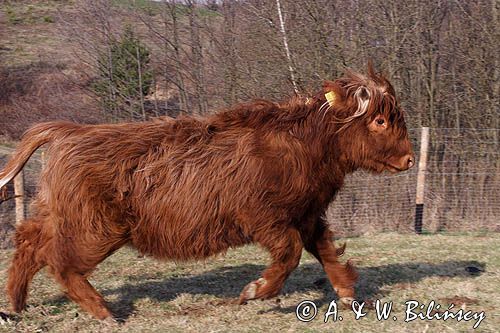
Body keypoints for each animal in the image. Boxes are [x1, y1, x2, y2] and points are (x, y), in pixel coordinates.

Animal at [0, 65, 414, 320]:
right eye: (379, 120)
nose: (409, 158)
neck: (307, 147)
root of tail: (70, 130)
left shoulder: (308, 214)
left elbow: (326, 252)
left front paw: (348, 296)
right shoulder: (266, 217)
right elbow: (290, 254)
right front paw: (255, 291)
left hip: (62, 215)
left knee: (29, 241)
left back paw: (16, 303)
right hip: (95, 228)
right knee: (59, 261)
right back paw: (103, 311)